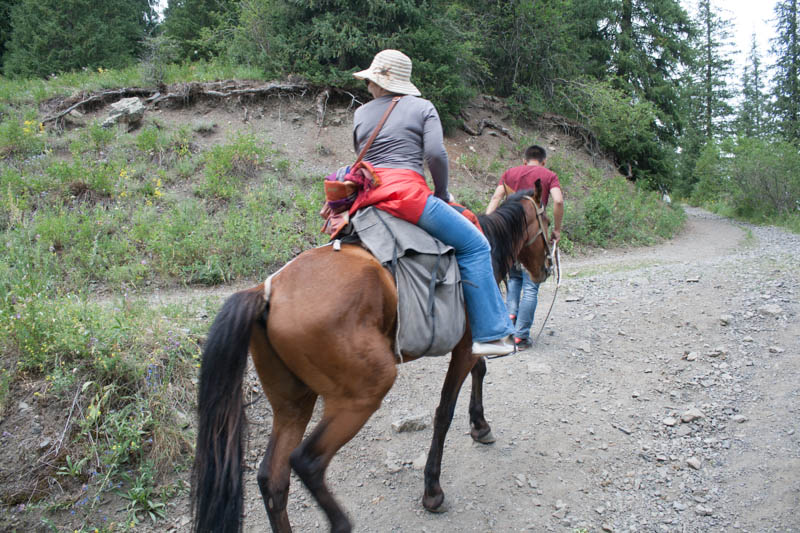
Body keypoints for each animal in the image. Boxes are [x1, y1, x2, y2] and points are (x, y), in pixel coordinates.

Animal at [191, 184, 552, 532]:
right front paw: (433, 490)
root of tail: (268, 292)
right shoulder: (464, 346)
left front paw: (480, 425)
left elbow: (480, 370)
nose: (547, 268)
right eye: (547, 222)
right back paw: (340, 523)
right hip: (362, 393)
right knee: (307, 461)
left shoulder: (469, 344)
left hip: (293, 402)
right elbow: (445, 411)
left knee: (273, 478)